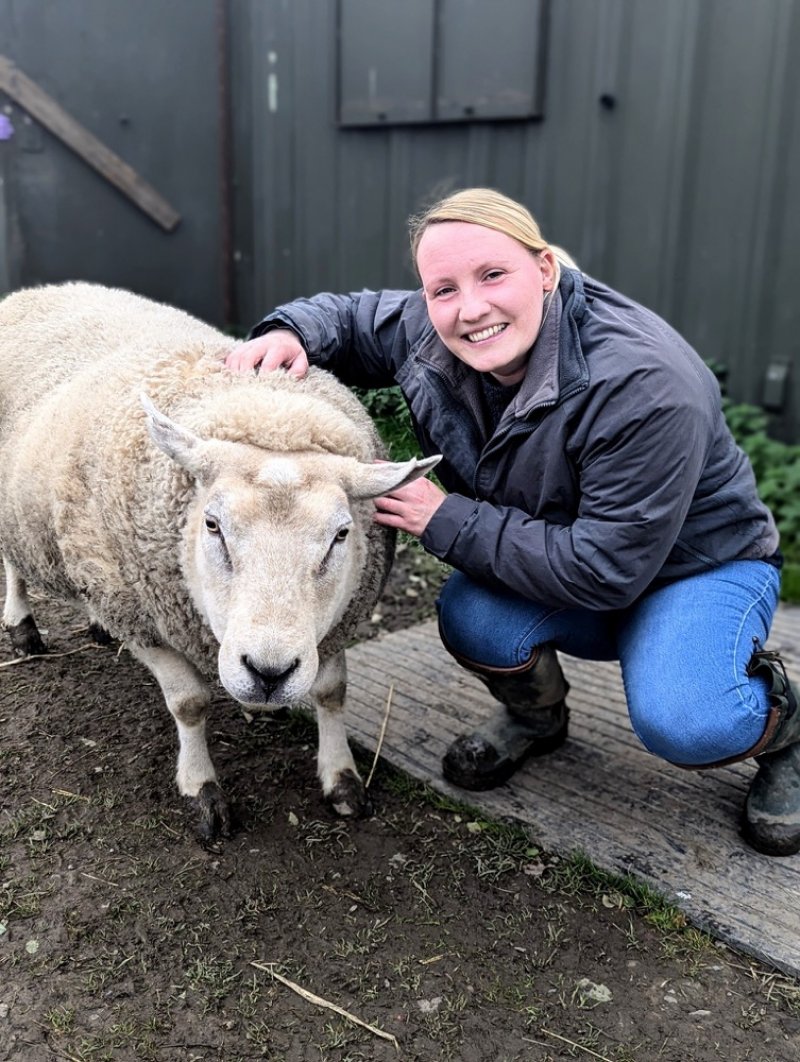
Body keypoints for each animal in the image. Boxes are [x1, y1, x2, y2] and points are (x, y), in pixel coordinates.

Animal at [0, 280, 437, 836]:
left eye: (342, 535)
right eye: (212, 525)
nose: (269, 673)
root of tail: (41, 289)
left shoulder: (334, 621)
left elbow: (331, 691)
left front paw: (341, 779)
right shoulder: (141, 615)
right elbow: (189, 703)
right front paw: (201, 789)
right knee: (13, 564)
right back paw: (22, 626)